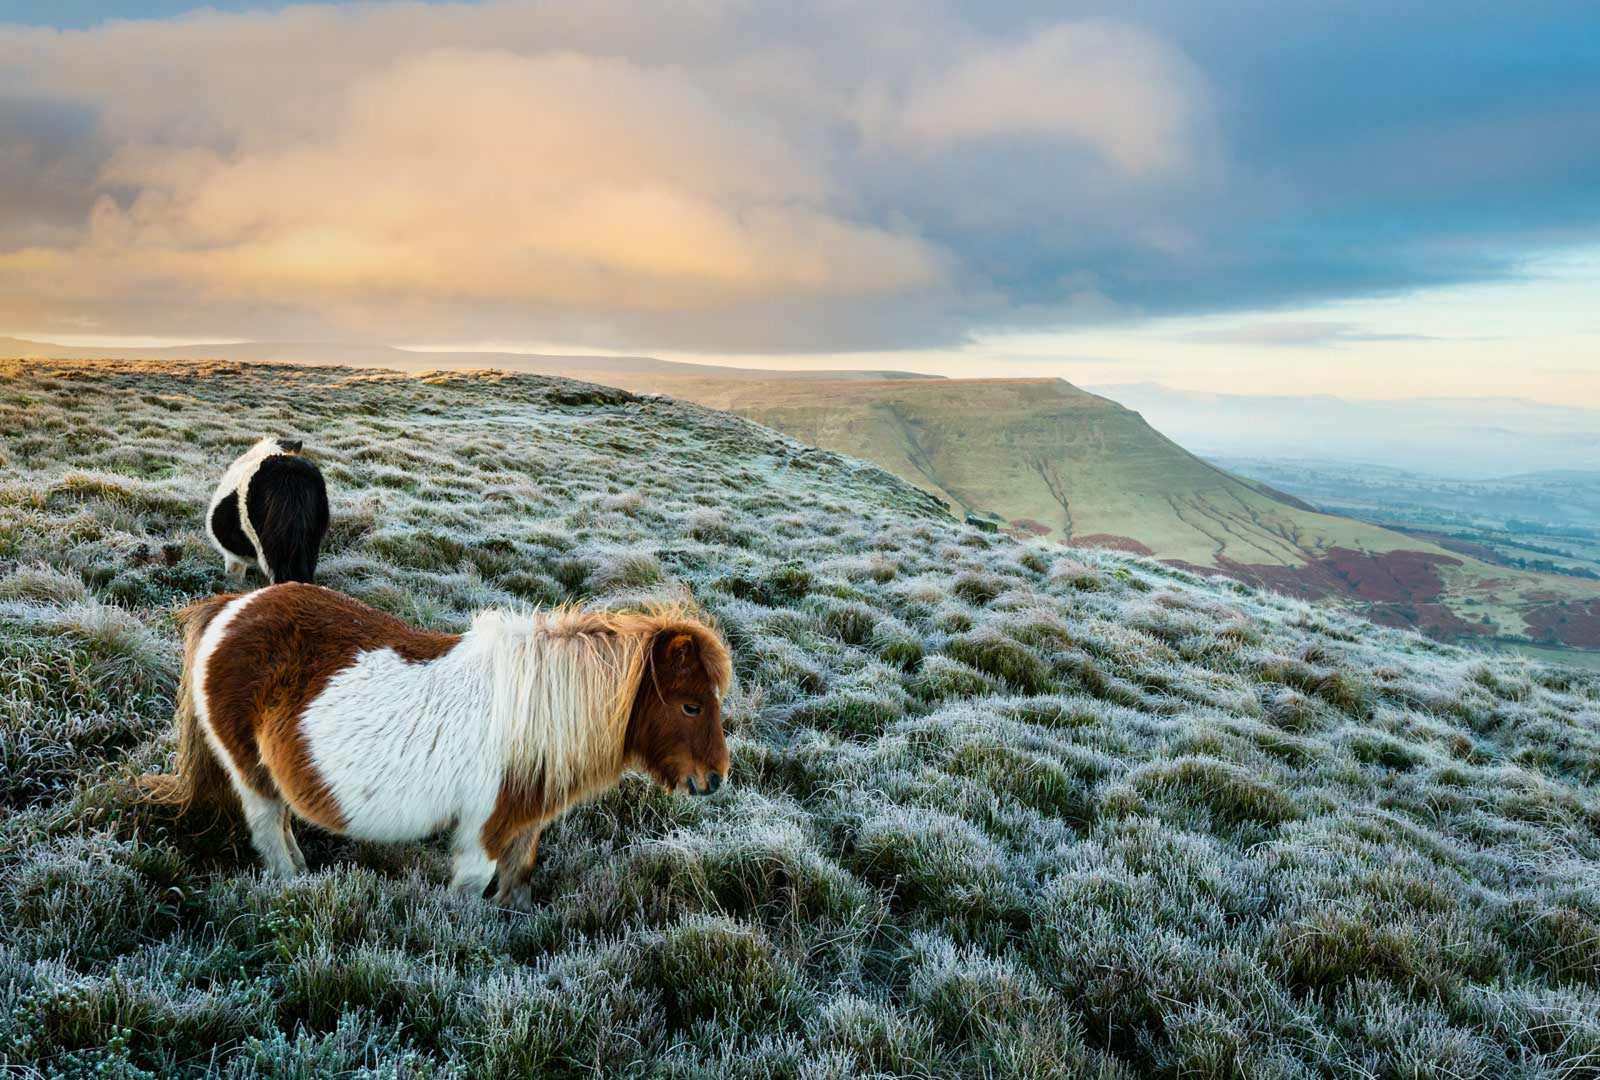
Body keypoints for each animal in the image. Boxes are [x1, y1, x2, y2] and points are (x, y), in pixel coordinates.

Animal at [142, 583, 732, 907]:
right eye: (691, 706)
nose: (714, 779)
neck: (536, 715)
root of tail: (232, 606)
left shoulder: (523, 825)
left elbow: (519, 884)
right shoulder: (483, 832)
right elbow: (469, 895)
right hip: (251, 774)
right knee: (268, 831)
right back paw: (295, 886)